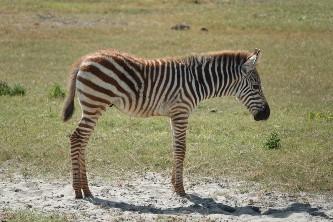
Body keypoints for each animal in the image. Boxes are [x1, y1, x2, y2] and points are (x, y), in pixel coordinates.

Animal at [63, 47, 270, 199]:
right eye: (256, 86)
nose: (266, 115)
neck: (198, 82)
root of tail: (85, 59)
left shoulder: (174, 114)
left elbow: (175, 146)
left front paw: (173, 184)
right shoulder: (181, 111)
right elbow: (181, 148)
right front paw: (181, 190)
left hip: (92, 106)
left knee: (82, 141)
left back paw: (87, 190)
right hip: (95, 103)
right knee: (77, 138)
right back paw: (78, 191)